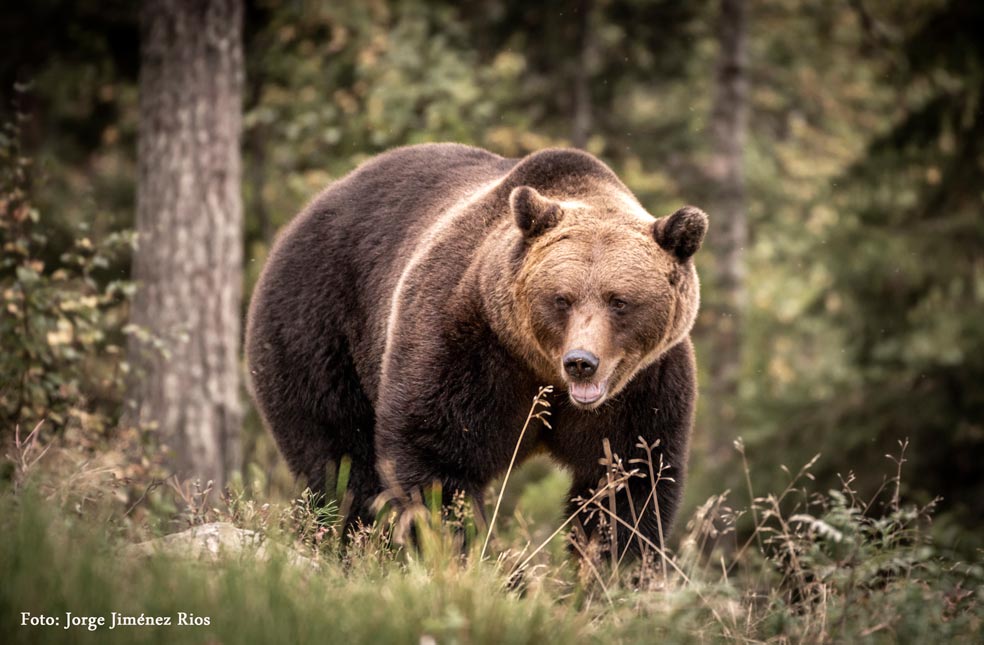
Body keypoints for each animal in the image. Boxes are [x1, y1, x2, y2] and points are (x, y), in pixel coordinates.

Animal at [246, 143, 708, 556]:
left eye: (619, 301)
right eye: (562, 298)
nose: (581, 363)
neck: (538, 368)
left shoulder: (645, 385)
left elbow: (630, 482)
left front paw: (612, 565)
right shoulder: (466, 344)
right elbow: (437, 460)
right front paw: (467, 552)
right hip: (316, 326)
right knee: (338, 459)